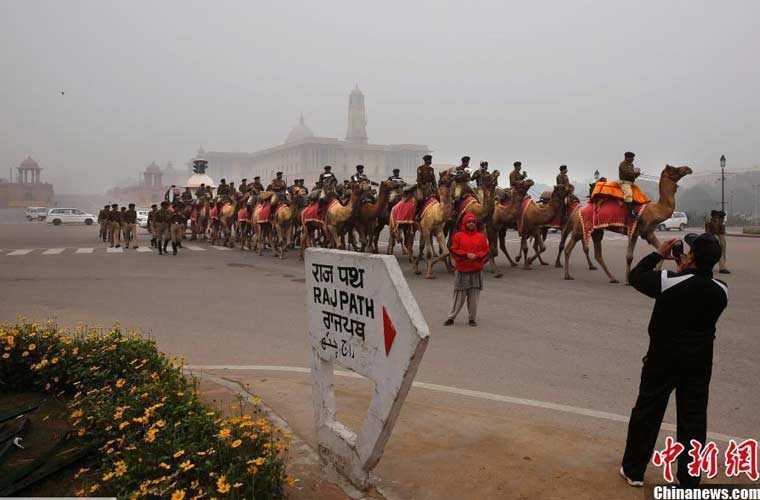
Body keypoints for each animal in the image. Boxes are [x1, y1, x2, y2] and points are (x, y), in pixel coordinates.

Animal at [560, 164, 692, 282]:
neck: (654, 211)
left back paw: (612, 278)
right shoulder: (634, 231)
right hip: (580, 228)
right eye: (674, 168)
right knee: (568, 248)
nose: (688, 169)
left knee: (597, 254)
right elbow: (629, 257)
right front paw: (628, 280)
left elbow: (662, 250)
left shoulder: (648, 233)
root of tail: (578, 211)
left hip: (597, 231)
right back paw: (567, 275)